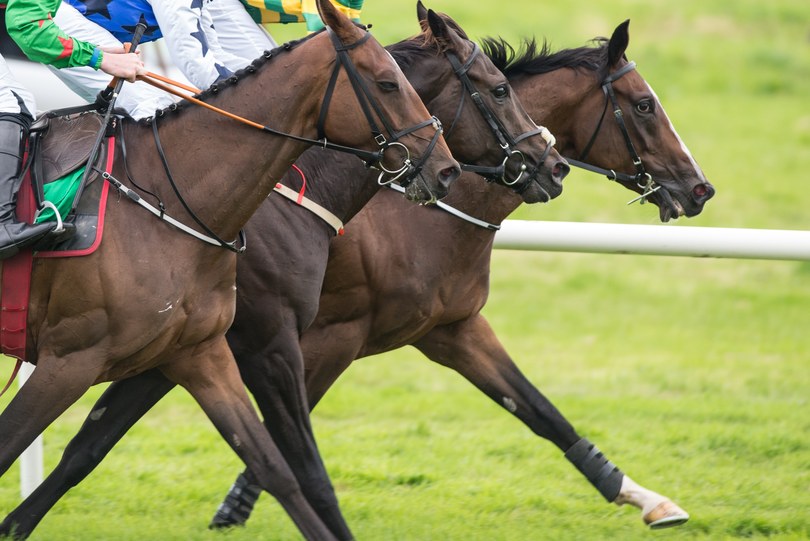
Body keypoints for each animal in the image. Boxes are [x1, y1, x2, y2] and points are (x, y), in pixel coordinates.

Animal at [0, 5, 567, 540]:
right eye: (498, 89)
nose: (553, 164)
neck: (170, 195)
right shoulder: (262, 344)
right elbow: (309, 470)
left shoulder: (187, 352)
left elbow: (266, 466)